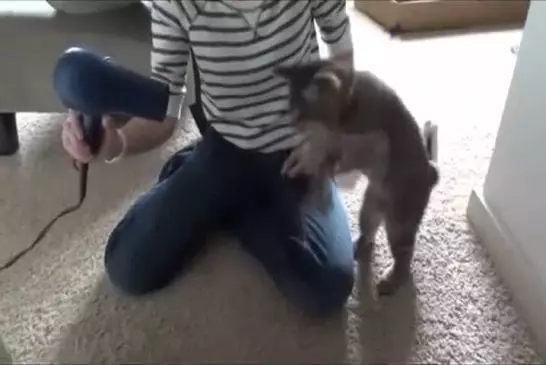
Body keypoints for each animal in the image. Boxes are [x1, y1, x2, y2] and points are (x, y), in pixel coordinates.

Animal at [276, 54, 438, 296]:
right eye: (291, 113)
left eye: (302, 116)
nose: (294, 127)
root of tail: (430, 172)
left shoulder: (369, 140)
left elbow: (338, 150)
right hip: (370, 208)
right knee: (369, 232)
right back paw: (360, 246)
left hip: (400, 220)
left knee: (405, 255)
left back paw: (393, 279)